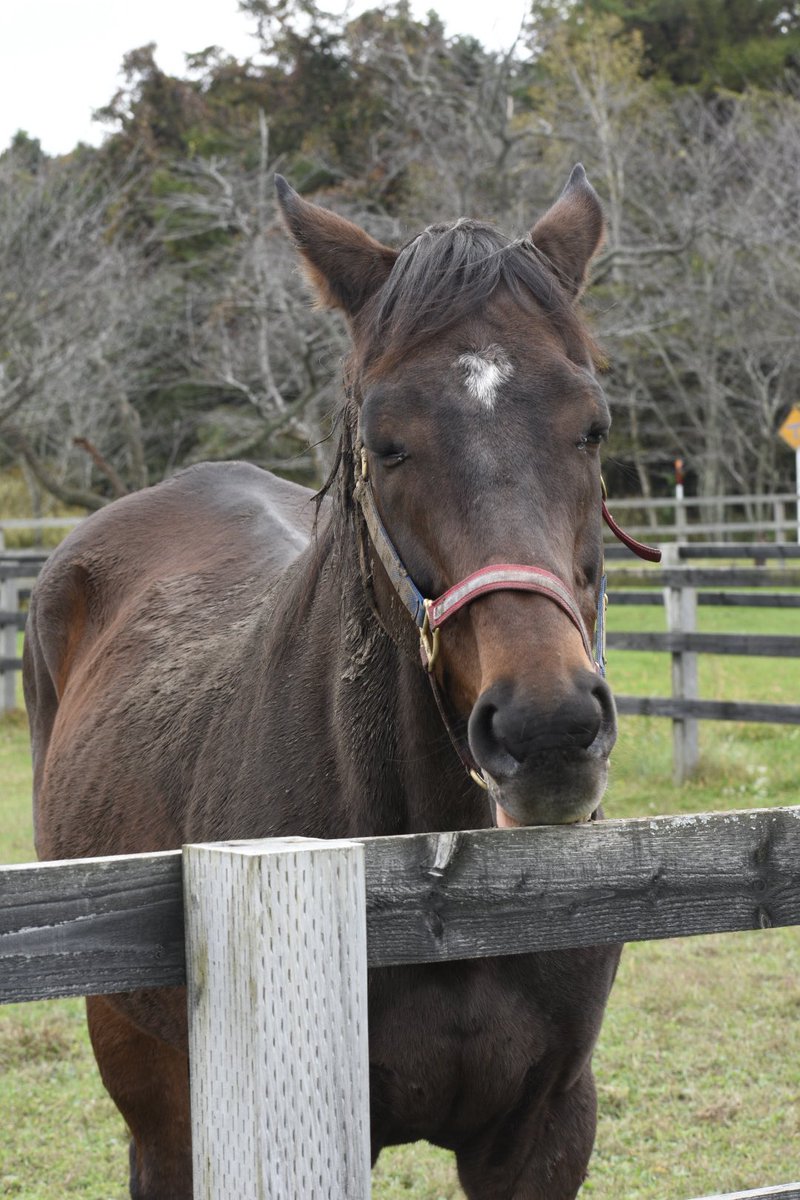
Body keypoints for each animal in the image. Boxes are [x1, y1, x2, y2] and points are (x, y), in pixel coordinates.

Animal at [24, 166, 655, 1199]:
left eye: (592, 429)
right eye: (386, 442)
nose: (549, 727)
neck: (435, 886)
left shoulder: (547, 1129)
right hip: (150, 1087)